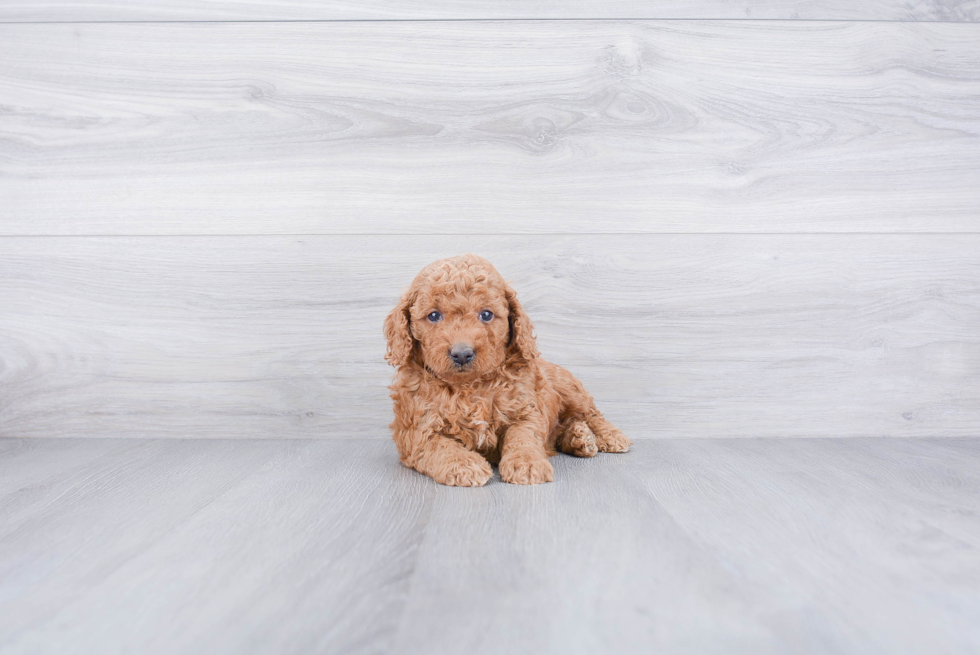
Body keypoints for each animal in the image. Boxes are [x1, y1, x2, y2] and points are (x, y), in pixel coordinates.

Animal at [382, 255, 628, 486]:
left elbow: (522, 436)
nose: (462, 353)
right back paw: (578, 438)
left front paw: (527, 464)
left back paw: (608, 436)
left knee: (590, 414)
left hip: (569, 388)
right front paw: (465, 465)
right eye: (433, 315)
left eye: (486, 314)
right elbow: (440, 446)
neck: (470, 387)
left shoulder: (526, 410)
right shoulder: (417, 431)